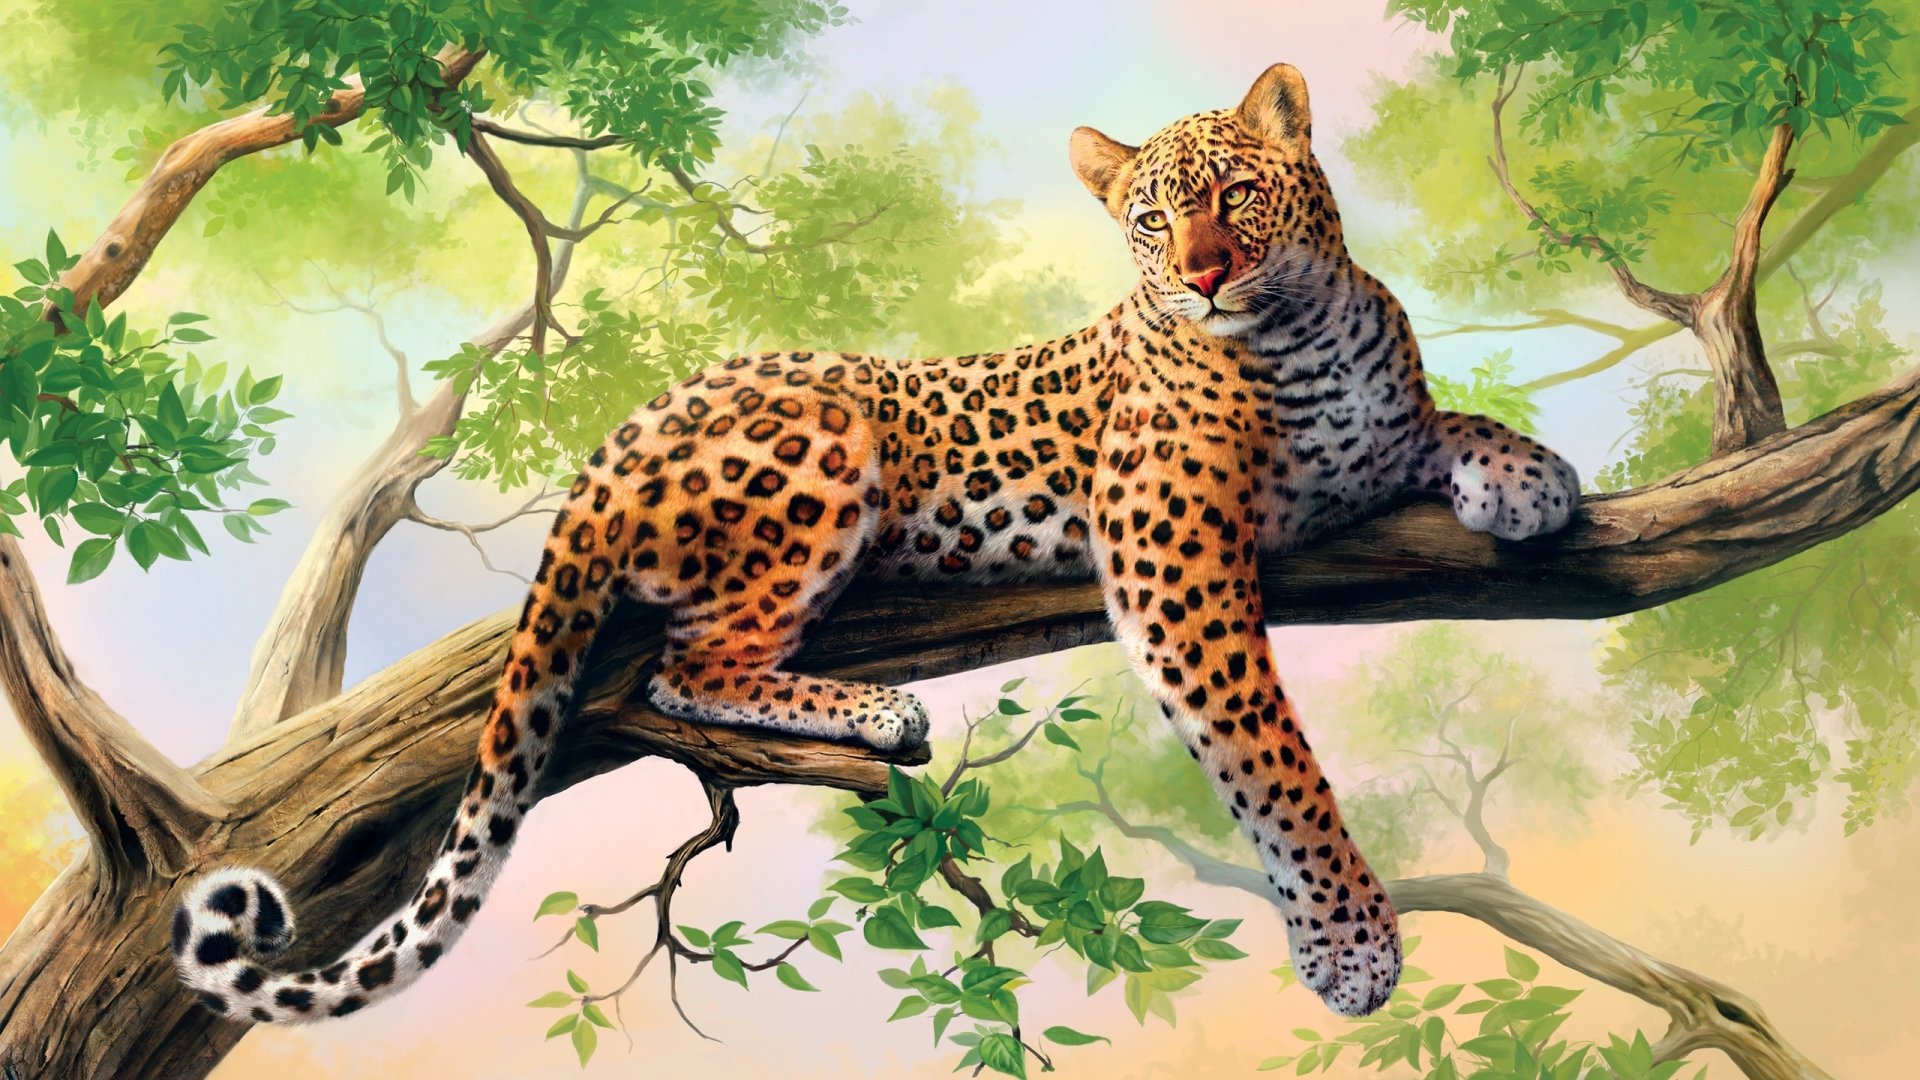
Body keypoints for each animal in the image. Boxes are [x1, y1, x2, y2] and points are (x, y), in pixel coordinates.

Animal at [171, 63, 1579, 1026]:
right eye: (1149, 220)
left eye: (1235, 193)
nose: (1204, 275)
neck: (1301, 332)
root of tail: (620, 436)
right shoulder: (1172, 558)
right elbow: (1272, 756)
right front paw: (1350, 941)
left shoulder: (1365, 449)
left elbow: (1440, 421)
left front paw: (1531, 475)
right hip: (826, 445)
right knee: (689, 664)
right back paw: (878, 713)